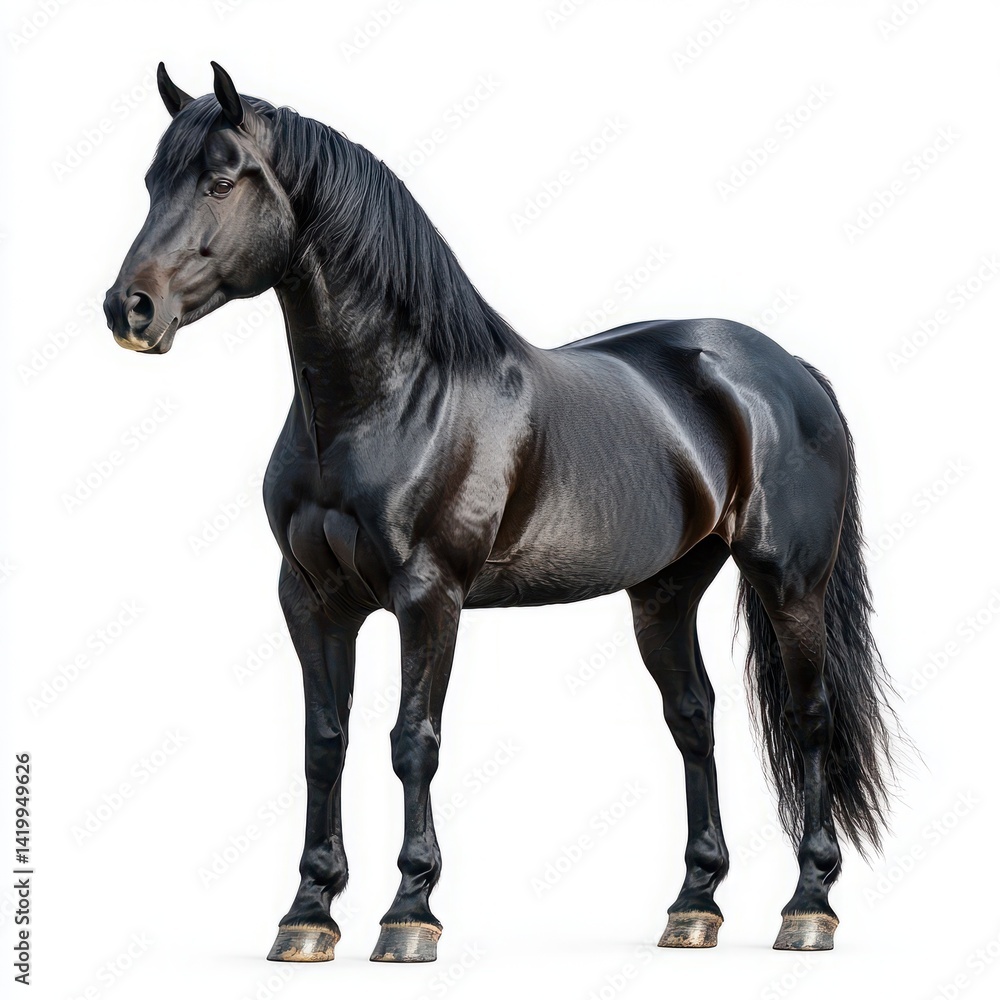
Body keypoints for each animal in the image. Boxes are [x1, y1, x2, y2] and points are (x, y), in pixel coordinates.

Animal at [104, 62, 897, 963]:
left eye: (221, 179)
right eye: (151, 182)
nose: (129, 309)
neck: (391, 398)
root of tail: (786, 366)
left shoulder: (429, 596)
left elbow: (413, 741)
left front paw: (409, 913)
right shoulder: (309, 599)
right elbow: (322, 744)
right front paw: (307, 915)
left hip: (790, 582)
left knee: (811, 718)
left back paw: (809, 906)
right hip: (664, 593)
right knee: (694, 720)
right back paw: (694, 906)